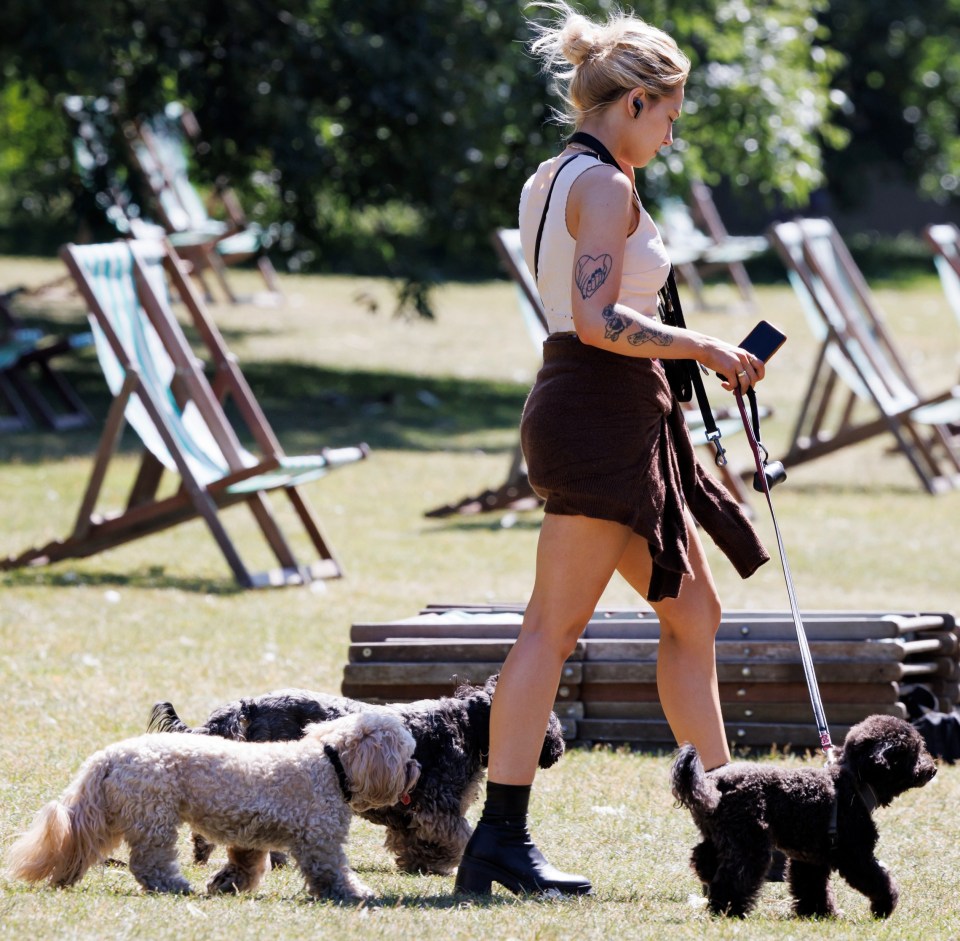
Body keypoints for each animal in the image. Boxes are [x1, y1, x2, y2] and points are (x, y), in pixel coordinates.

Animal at [6, 712, 420, 904]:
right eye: (406, 754)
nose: (416, 769)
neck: (330, 763)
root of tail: (108, 755)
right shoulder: (320, 841)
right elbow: (333, 873)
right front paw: (356, 893)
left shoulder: (250, 834)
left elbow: (246, 864)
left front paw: (225, 884)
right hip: (154, 820)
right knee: (148, 864)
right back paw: (173, 886)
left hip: (109, 817)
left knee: (82, 847)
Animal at [147, 672, 568, 876]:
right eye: (550, 718)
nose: (559, 748)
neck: (467, 724)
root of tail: (248, 705)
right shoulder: (439, 809)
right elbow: (457, 838)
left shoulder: (411, 812)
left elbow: (413, 842)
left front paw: (421, 865)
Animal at [672, 716, 932, 916]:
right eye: (915, 752)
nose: (932, 768)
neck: (853, 784)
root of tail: (713, 782)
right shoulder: (854, 854)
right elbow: (879, 880)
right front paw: (884, 907)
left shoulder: (811, 858)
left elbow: (812, 886)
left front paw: (819, 913)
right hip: (749, 841)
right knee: (734, 877)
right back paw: (729, 911)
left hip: (719, 836)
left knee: (704, 861)